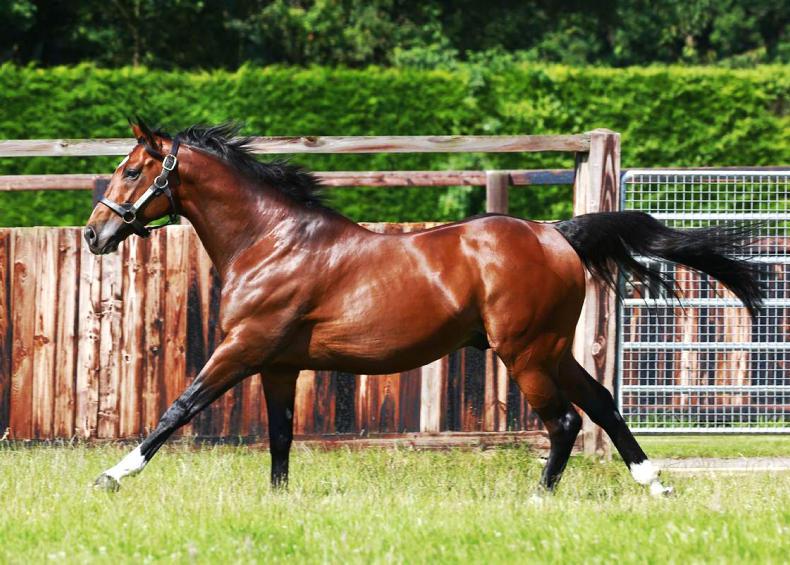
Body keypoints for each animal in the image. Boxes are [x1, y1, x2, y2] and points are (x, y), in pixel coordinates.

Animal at [84, 120, 764, 496]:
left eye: (132, 170)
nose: (94, 234)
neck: (271, 239)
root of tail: (557, 233)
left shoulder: (242, 347)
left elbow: (179, 408)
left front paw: (113, 475)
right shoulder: (279, 364)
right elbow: (280, 436)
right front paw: (278, 500)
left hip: (525, 353)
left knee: (566, 422)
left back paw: (539, 496)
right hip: (548, 350)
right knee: (599, 404)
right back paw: (654, 484)